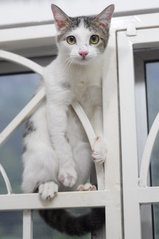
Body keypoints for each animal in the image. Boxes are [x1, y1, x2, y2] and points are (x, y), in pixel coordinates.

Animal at [22, 3, 114, 237]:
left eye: (93, 39)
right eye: (71, 39)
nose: (82, 52)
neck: (81, 74)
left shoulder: (96, 101)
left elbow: (97, 127)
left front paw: (101, 148)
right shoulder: (56, 101)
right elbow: (61, 139)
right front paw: (67, 171)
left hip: (82, 153)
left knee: (68, 190)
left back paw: (84, 187)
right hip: (41, 153)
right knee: (38, 183)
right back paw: (47, 185)